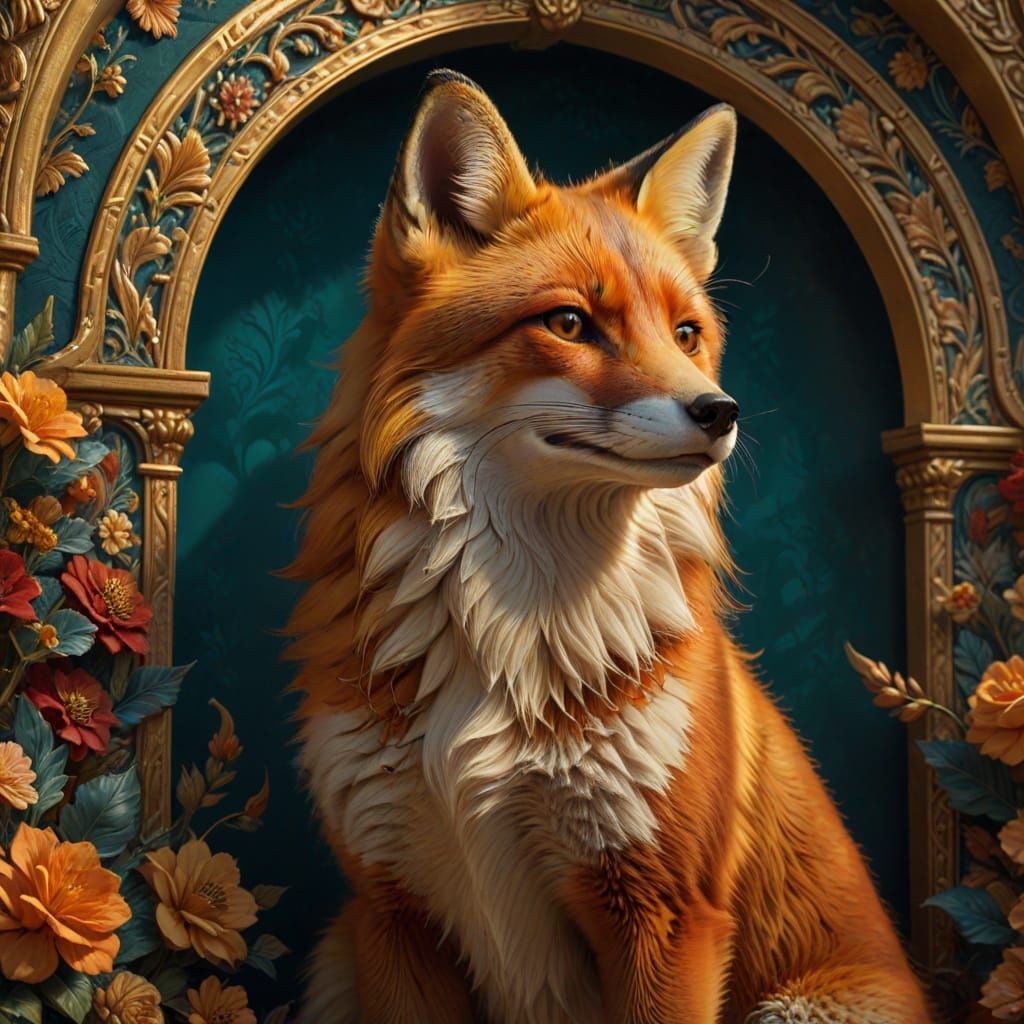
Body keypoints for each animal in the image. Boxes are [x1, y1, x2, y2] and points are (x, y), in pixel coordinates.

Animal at [286, 69, 932, 1024]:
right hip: (336, 961)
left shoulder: (664, 909)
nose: (720, 412)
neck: (512, 633)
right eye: (569, 323)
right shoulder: (390, 909)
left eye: (687, 333)